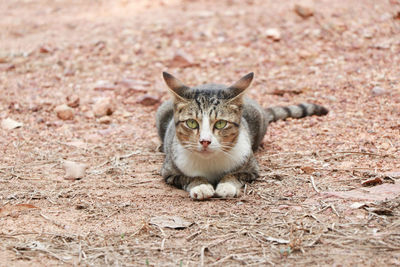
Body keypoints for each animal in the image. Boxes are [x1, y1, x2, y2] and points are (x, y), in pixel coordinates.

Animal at [156, 72, 328, 200]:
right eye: (191, 123)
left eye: (220, 124)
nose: (205, 141)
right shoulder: (169, 172)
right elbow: (187, 177)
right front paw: (201, 185)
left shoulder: (251, 168)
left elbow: (235, 174)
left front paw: (226, 185)